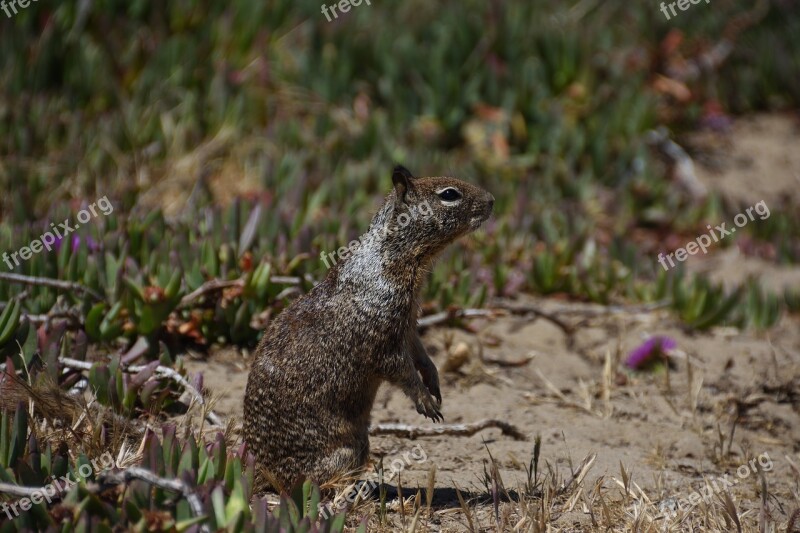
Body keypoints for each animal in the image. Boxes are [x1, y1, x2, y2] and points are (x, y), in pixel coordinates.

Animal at [244, 164, 494, 488]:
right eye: (449, 194)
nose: (491, 201)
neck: (393, 255)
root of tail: (256, 473)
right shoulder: (383, 341)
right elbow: (401, 370)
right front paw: (426, 402)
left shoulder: (408, 325)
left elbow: (420, 354)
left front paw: (434, 380)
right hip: (349, 449)